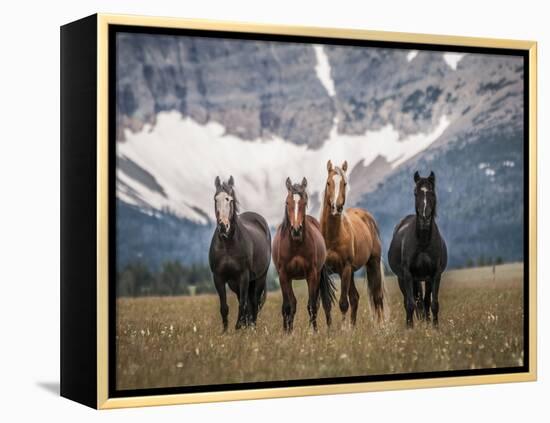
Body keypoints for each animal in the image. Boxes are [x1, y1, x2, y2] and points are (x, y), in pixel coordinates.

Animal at [208, 176, 272, 332]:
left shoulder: (244, 276)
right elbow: (224, 307)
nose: (223, 226)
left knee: (254, 302)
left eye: (229, 199)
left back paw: (252, 326)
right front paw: (225, 331)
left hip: (259, 278)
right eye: (215, 199)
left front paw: (238, 327)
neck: (228, 245)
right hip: (235, 283)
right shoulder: (219, 277)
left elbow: (243, 304)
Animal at [272, 177, 336, 332]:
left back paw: (329, 328)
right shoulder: (284, 275)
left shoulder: (312, 274)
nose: (296, 230)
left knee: (324, 303)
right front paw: (287, 332)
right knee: (290, 304)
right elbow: (288, 306)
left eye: (305, 203)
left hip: (319, 275)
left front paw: (313, 332)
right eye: (287, 203)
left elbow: (312, 305)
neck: (295, 245)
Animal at [322, 160, 386, 324]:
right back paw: (354, 326)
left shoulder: (345, 268)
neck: (332, 236)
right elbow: (326, 304)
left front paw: (344, 328)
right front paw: (330, 329)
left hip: (372, 263)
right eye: (328, 183)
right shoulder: (323, 271)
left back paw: (381, 326)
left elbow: (343, 303)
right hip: (351, 272)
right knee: (355, 298)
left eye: (344, 183)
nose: (336, 207)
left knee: (377, 297)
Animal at [388, 171, 448, 330]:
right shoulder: (408, 275)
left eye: (432, 192)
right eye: (415, 193)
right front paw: (410, 327)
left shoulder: (435, 275)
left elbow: (433, 303)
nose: (424, 218)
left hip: (424, 279)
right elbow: (410, 304)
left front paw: (434, 327)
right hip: (403, 279)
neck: (423, 242)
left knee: (424, 301)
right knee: (411, 301)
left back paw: (426, 322)